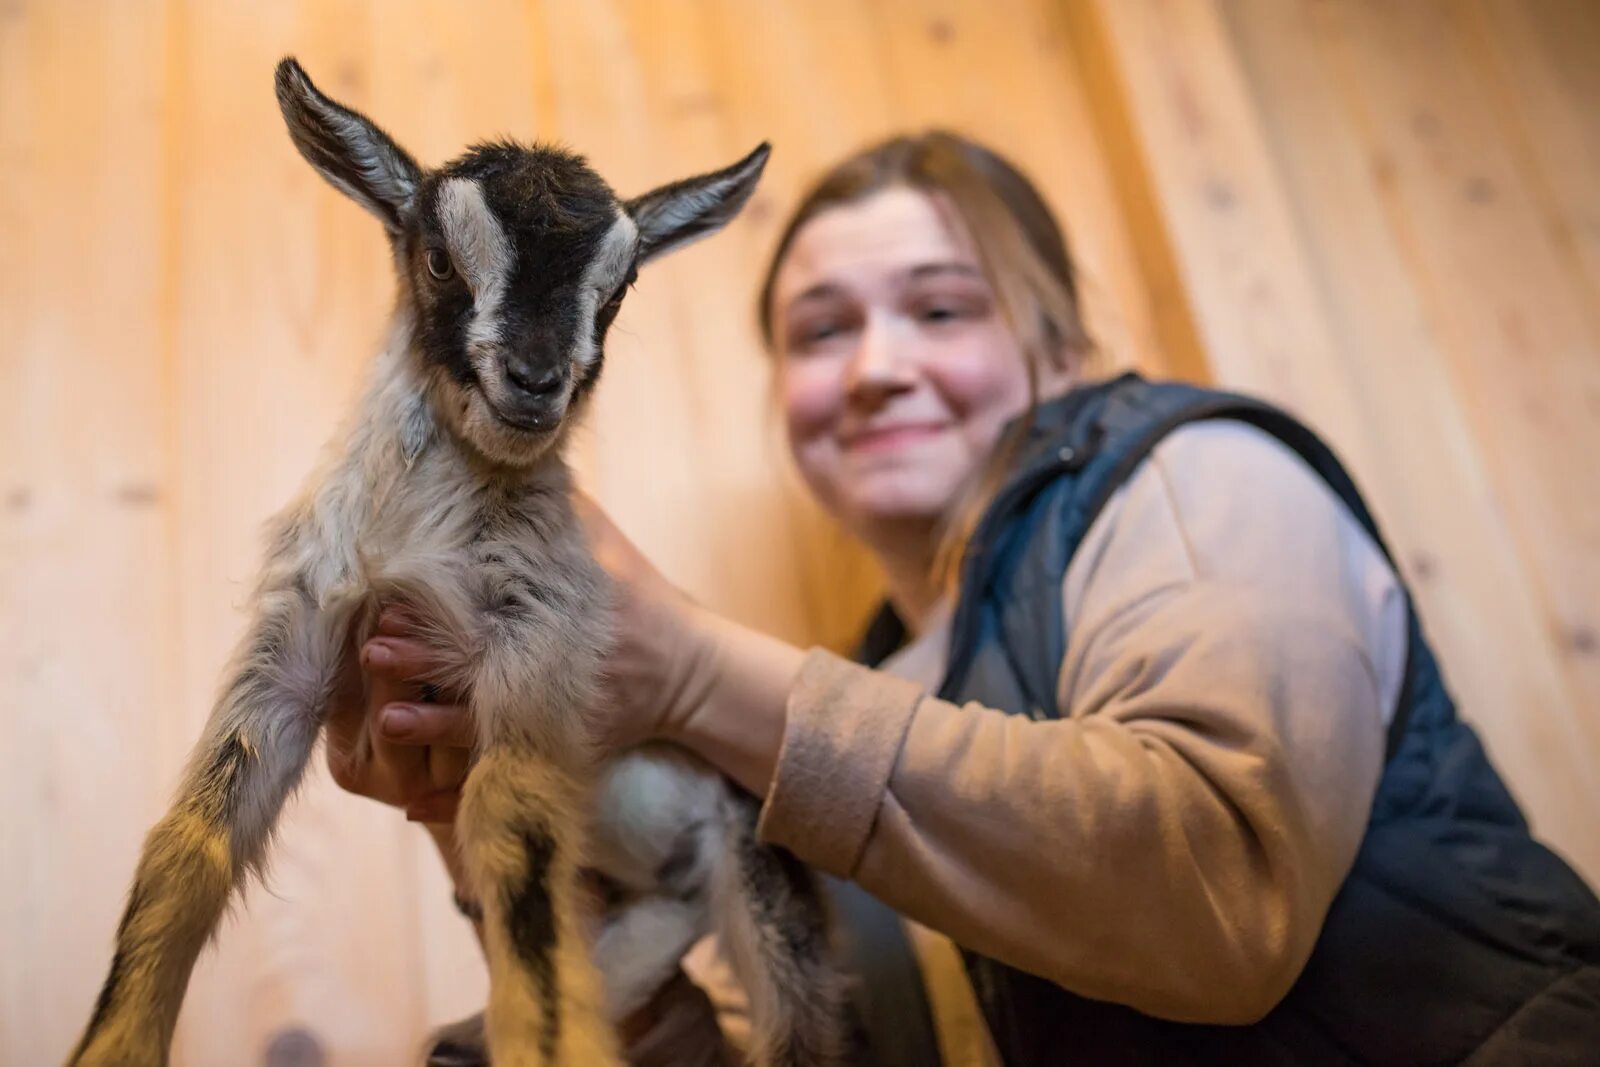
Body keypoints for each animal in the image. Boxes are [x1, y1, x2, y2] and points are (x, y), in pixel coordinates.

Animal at [65, 60, 851, 1067]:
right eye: (439, 258)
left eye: (620, 288)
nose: (535, 381)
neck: (413, 534)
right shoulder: (299, 634)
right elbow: (190, 837)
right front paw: (111, 1044)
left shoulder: (537, 645)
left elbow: (513, 837)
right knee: (664, 914)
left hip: (753, 861)